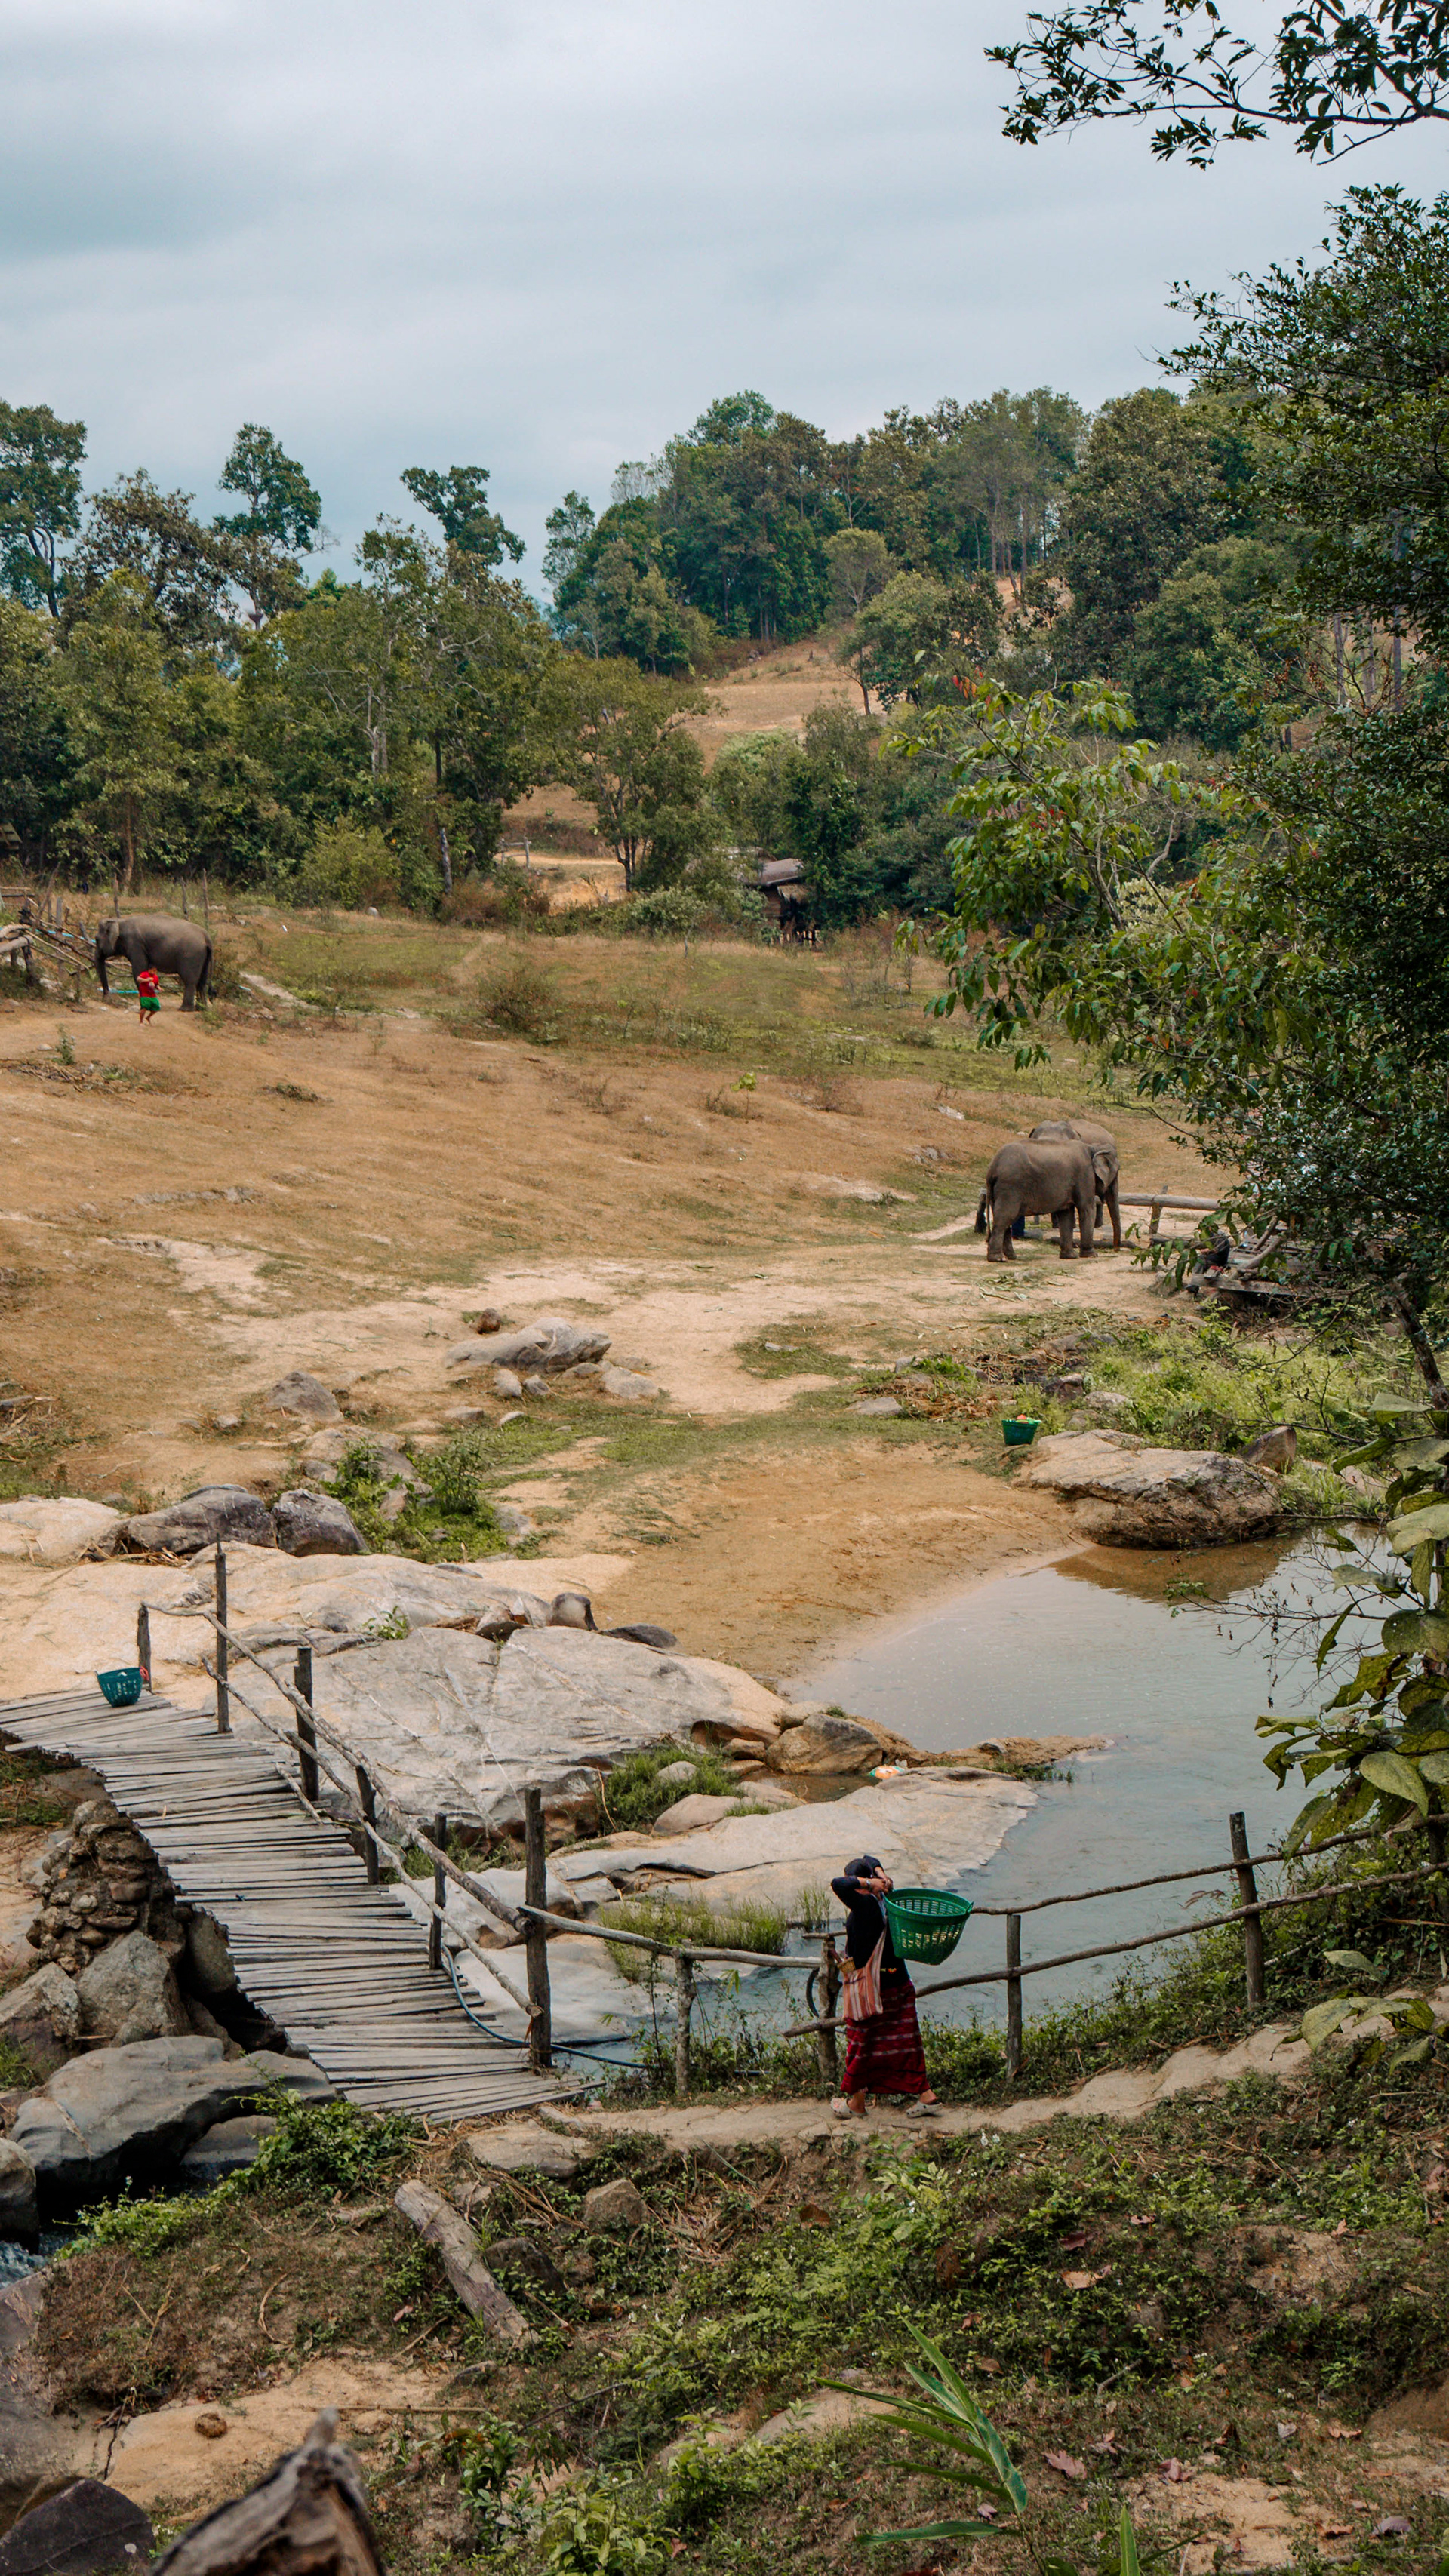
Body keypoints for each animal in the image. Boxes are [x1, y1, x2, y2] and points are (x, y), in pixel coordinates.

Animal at [94, 915, 213, 1012]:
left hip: (191, 955)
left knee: (190, 981)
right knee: (202, 982)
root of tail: (206, 936)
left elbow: (139, 970)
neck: (120, 920)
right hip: (203, 957)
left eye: (97, 939)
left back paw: (185, 1009)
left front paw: (144, 1005)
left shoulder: (136, 945)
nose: (105, 999)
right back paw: (201, 1009)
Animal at [974, 1136, 1104, 1262]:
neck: (1092, 1147)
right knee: (1005, 1217)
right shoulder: (1085, 1173)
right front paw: (1092, 1255)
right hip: (1010, 1187)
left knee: (1005, 1219)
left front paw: (1070, 1257)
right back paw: (998, 1258)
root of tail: (992, 1167)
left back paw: (1010, 1256)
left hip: (998, 1190)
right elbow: (1086, 1208)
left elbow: (1066, 1213)